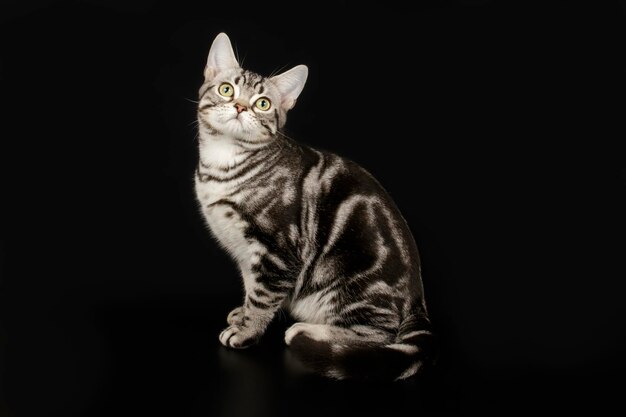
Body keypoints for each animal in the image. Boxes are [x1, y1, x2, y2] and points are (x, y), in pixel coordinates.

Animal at [193, 33, 432, 380]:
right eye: (227, 89)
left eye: (263, 103)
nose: (239, 106)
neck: (223, 165)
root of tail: (418, 297)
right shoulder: (248, 254)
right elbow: (251, 289)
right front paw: (242, 314)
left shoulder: (278, 251)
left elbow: (262, 299)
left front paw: (246, 331)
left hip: (349, 283)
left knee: (379, 334)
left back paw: (307, 332)